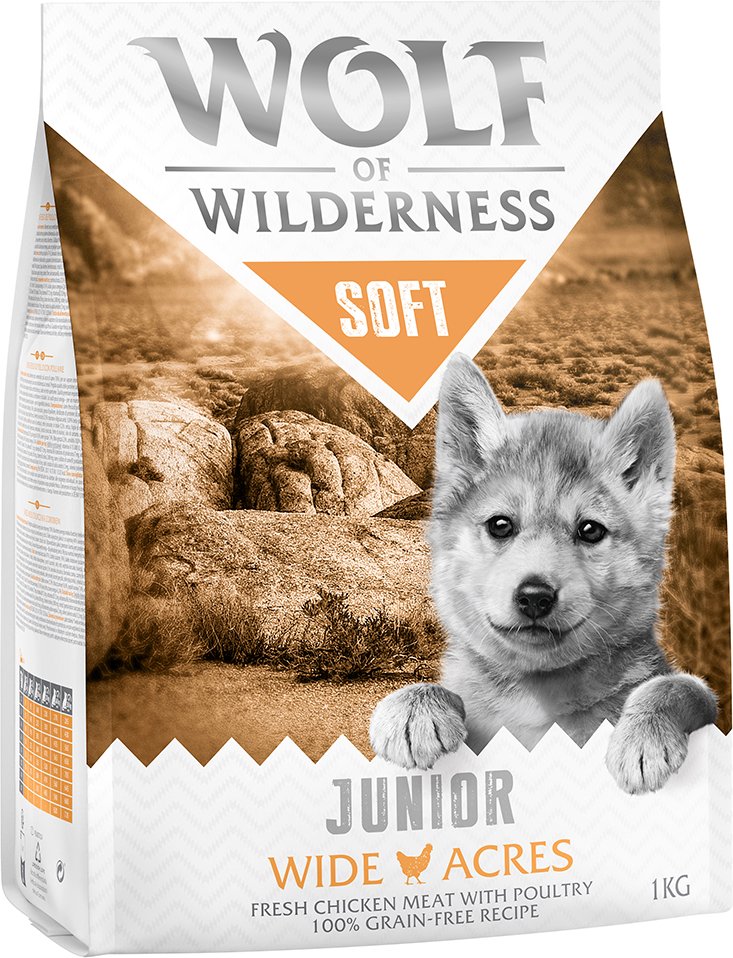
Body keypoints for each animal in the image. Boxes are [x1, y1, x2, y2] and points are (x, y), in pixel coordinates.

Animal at [370, 355, 717, 794]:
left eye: (590, 530)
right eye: (501, 525)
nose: (535, 596)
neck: (537, 699)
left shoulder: (692, 692)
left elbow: (677, 686)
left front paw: (644, 736)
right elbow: (451, 694)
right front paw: (413, 707)